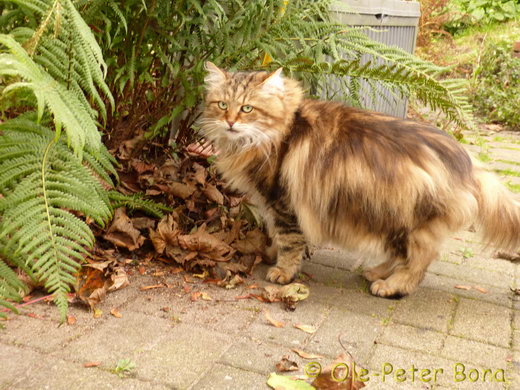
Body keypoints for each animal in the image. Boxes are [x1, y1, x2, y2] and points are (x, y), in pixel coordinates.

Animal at [200, 61, 520, 298]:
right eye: (222, 105)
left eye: (247, 108)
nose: (230, 122)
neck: (271, 134)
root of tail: (469, 165)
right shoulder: (271, 203)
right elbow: (277, 237)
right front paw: (269, 253)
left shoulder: (283, 202)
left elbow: (289, 241)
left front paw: (282, 271)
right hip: (390, 217)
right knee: (400, 254)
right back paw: (377, 272)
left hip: (412, 221)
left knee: (419, 261)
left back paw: (390, 286)